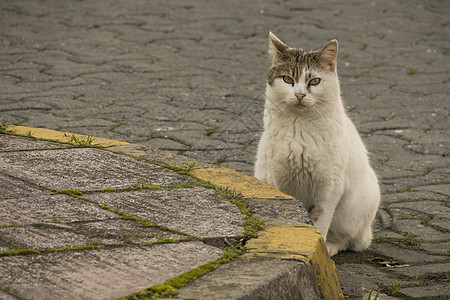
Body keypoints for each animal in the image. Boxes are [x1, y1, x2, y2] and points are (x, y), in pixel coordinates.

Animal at [253, 31, 380, 255]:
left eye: (314, 81)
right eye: (288, 79)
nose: (300, 94)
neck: (300, 128)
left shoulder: (329, 188)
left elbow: (320, 223)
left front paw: (319, 247)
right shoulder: (279, 182)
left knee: (348, 240)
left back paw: (330, 247)